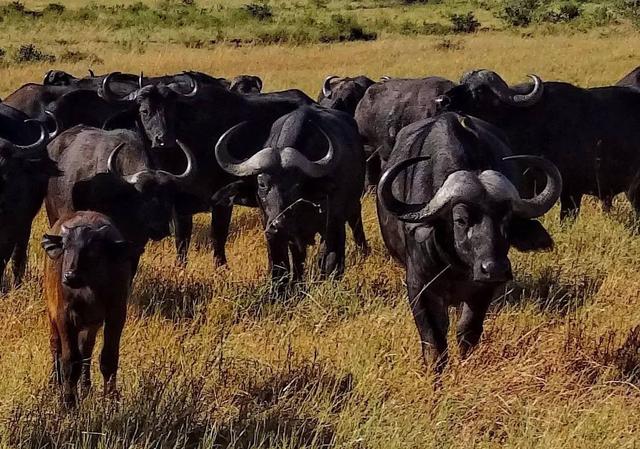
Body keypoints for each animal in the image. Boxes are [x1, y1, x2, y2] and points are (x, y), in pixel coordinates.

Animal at [41, 210, 132, 406]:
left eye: (92, 250)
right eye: (66, 247)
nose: (70, 275)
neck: (88, 287)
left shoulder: (116, 314)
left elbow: (108, 358)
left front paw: (110, 398)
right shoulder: (64, 316)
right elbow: (70, 360)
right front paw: (69, 401)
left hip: (91, 324)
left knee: (86, 351)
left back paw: (86, 386)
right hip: (52, 314)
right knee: (55, 345)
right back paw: (55, 383)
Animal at [214, 105, 364, 288]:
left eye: (297, 184)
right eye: (262, 184)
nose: (280, 224)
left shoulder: (334, 225)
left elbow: (330, 262)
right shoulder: (272, 232)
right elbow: (280, 267)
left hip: (353, 208)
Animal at [378, 112, 564, 372]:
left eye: (507, 219)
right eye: (460, 219)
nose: (495, 268)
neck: (457, 265)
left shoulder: (483, 290)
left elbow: (467, 332)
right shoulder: (419, 287)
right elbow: (434, 341)